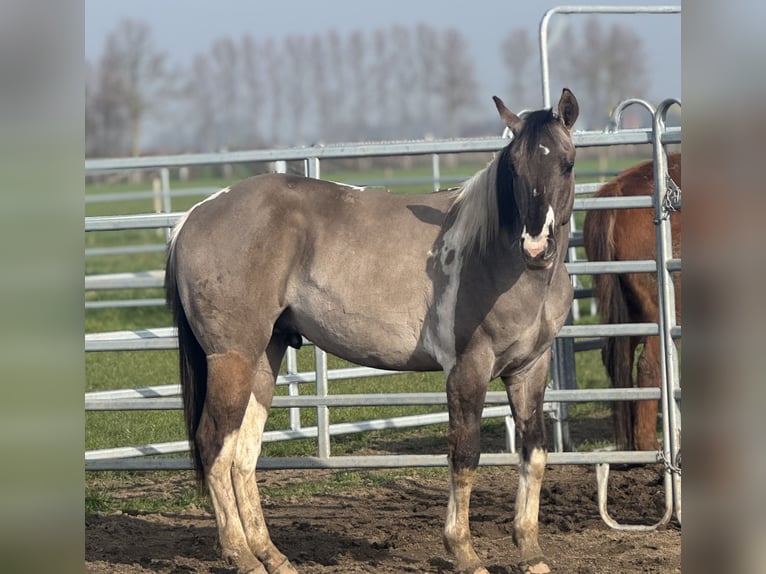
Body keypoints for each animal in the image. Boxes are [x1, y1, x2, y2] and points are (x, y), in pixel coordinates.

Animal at [165, 89, 579, 574]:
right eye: (513, 167)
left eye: (567, 164)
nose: (536, 246)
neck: (494, 254)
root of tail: (194, 215)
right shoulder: (467, 370)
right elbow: (465, 455)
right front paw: (463, 551)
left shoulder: (530, 370)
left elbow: (533, 453)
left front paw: (531, 553)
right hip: (231, 358)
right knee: (215, 444)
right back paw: (240, 556)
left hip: (263, 359)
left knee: (243, 455)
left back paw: (272, 556)